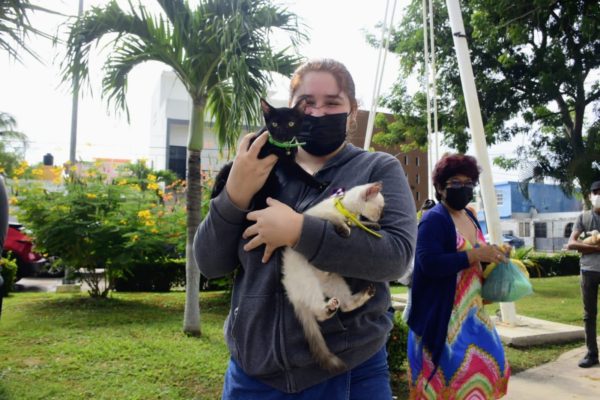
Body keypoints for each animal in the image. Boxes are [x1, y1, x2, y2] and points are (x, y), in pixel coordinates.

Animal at [281, 182, 385, 372]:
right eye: (380, 208)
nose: (381, 217)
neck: (347, 210)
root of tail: (290, 291)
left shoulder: (355, 221)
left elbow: (360, 223)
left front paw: (372, 226)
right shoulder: (320, 215)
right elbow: (337, 219)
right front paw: (345, 229)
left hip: (335, 281)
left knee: (346, 305)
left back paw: (365, 293)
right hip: (310, 284)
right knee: (318, 313)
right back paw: (328, 308)